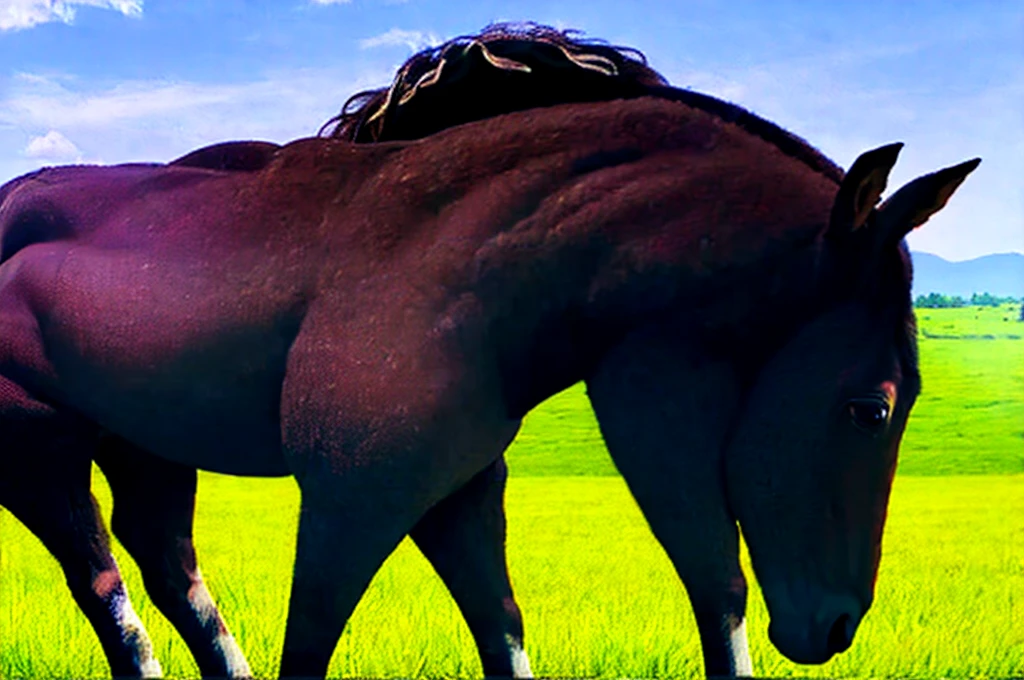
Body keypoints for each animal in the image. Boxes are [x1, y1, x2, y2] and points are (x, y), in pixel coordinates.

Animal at [0, 25, 974, 680]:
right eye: (872, 407)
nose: (835, 625)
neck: (441, 256)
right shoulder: (353, 501)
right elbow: (310, 643)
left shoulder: (461, 495)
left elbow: (509, 630)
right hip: (43, 455)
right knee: (106, 587)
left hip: (149, 455)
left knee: (165, 567)